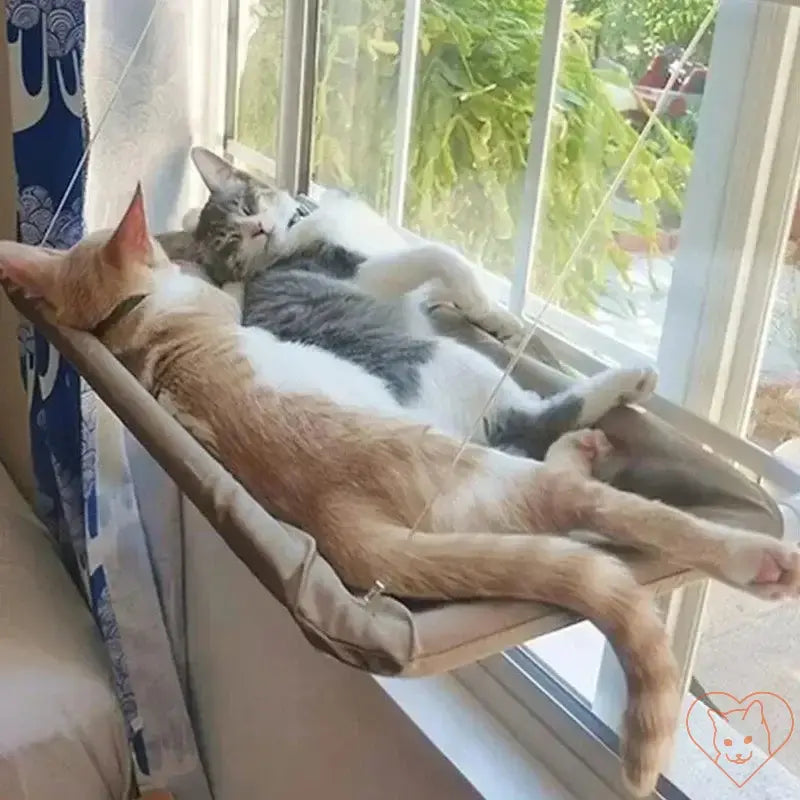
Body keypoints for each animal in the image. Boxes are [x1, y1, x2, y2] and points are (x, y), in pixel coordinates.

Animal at [169, 147, 656, 460]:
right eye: (229, 244)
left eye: (247, 204)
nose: (256, 230)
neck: (303, 222)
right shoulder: (364, 273)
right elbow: (441, 255)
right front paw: (482, 299)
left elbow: (446, 286)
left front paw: (498, 319)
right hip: (448, 361)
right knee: (538, 418)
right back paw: (629, 382)